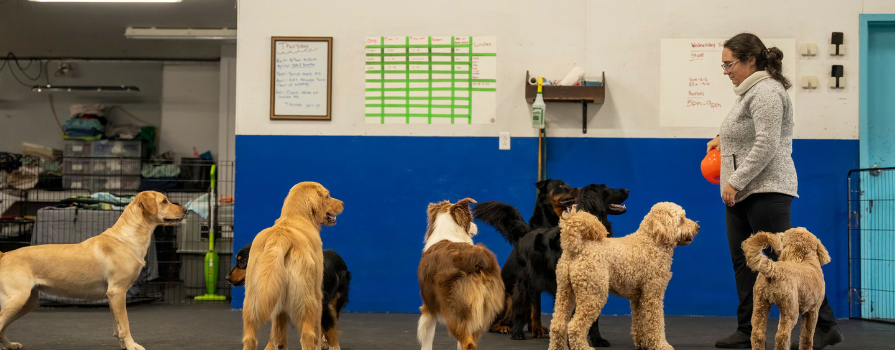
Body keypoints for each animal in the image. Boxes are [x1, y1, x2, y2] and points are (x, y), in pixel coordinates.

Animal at [0, 191, 183, 350]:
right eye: (164, 201)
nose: (185, 210)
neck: (127, 238)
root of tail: (4, 254)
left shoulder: (112, 296)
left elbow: (117, 327)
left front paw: (124, 345)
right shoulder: (118, 292)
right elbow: (125, 325)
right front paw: (132, 346)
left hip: (28, 301)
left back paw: (10, 345)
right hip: (18, 299)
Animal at [242, 182, 344, 350]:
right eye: (328, 196)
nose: (343, 204)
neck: (295, 216)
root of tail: (280, 239)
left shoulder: (280, 309)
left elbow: (279, 337)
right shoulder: (317, 294)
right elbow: (317, 333)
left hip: (252, 301)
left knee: (250, 338)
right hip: (307, 300)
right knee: (308, 335)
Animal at [418, 198, 504, 350]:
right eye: (471, 219)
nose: (476, 226)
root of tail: (476, 259)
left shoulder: (429, 307)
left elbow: (426, 340)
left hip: (454, 310)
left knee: (467, 342)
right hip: (480, 313)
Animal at [476, 182, 632, 346]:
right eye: (605, 189)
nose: (627, 190)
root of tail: (527, 233)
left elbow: (593, 320)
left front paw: (597, 340)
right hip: (523, 284)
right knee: (520, 309)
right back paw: (516, 332)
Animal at [552, 202, 700, 350]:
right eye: (681, 219)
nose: (698, 227)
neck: (652, 242)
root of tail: (578, 247)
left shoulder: (638, 298)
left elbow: (639, 322)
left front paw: (643, 343)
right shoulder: (653, 295)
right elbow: (656, 323)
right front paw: (661, 345)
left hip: (565, 291)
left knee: (557, 325)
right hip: (593, 294)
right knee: (574, 326)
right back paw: (584, 347)